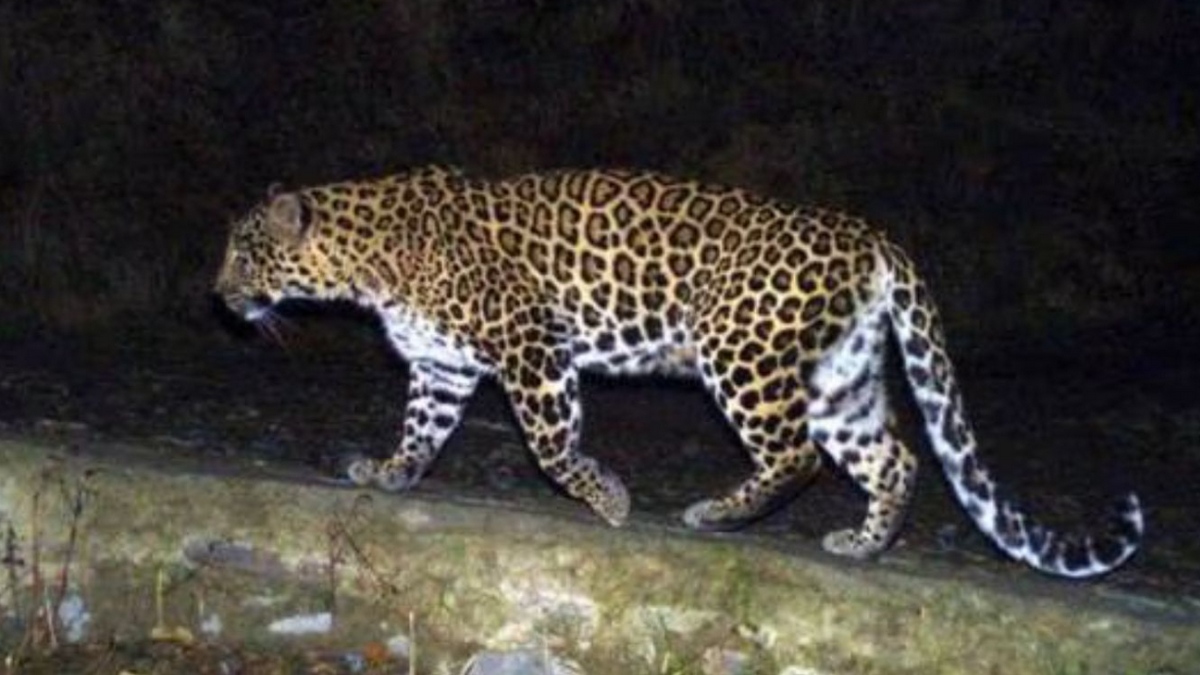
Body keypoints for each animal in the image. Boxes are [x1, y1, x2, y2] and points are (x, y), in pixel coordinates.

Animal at [214, 165, 1143, 578]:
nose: (218, 295)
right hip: (840, 376)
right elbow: (421, 430)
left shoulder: (530, 342)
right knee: (897, 457)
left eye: (244, 251)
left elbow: (552, 443)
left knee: (797, 456)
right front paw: (391, 472)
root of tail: (871, 234)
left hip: (742, 351)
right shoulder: (442, 366)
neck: (366, 258)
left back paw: (717, 513)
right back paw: (862, 543)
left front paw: (608, 499)